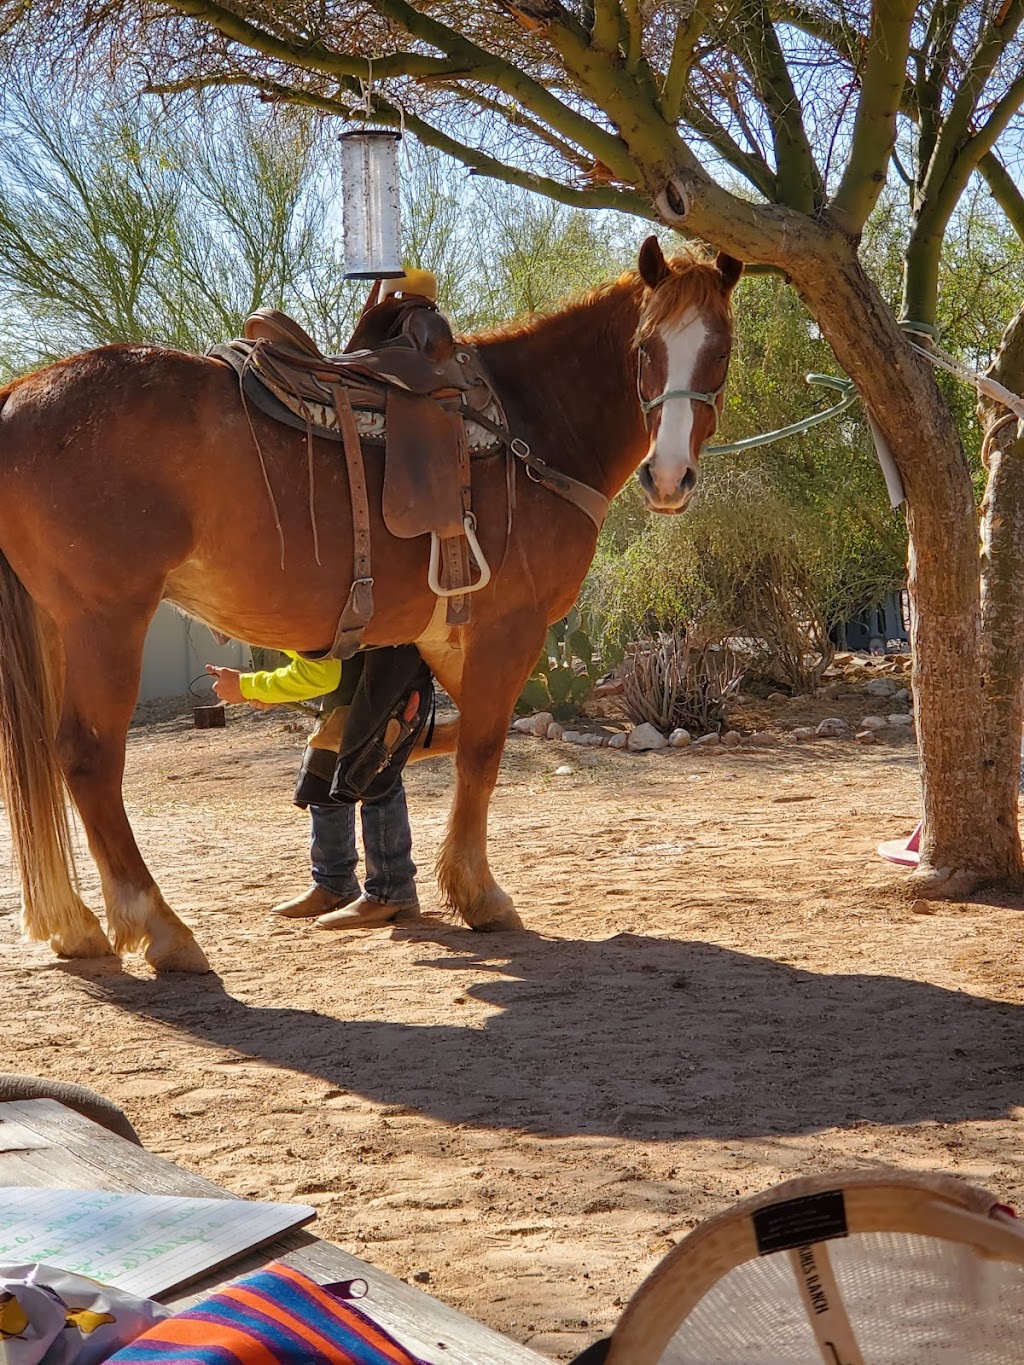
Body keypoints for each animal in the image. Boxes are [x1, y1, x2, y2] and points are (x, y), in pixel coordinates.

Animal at [0, 237, 742, 971]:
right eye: (644, 347)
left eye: (722, 350)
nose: (668, 476)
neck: (531, 425)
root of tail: (15, 398)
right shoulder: (510, 628)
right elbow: (482, 752)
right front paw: (477, 892)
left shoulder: (438, 640)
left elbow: (442, 740)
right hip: (106, 620)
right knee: (88, 758)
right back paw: (159, 927)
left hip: (61, 626)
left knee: (43, 758)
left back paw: (72, 921)